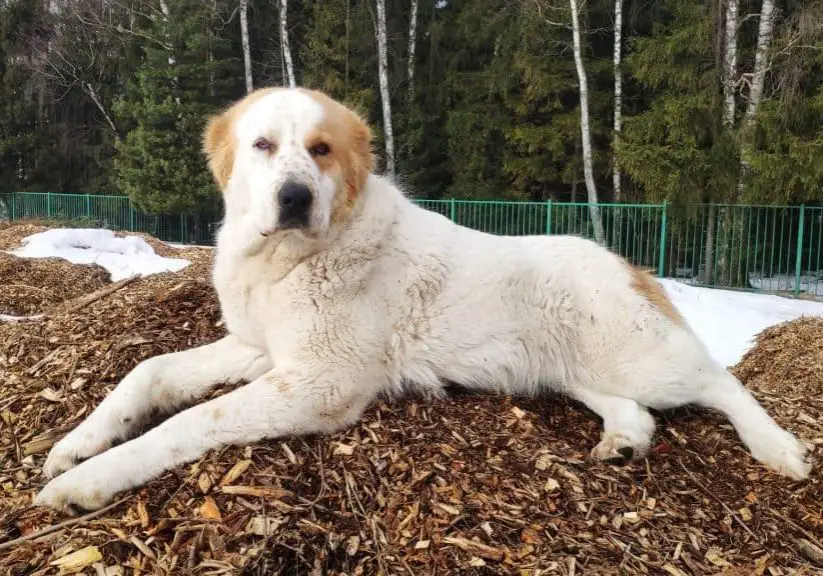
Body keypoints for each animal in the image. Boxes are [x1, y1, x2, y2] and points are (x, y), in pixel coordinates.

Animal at [37, 88, 812, 510]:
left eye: (320, 150)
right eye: (262, 146)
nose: (294, 197)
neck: (292, 260)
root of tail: (626, 262)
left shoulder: (317, 383)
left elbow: (190, 422)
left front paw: (94, 479)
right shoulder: (261, 351)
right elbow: (148, 372)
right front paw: (76, 445)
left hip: (638, 358)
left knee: (720, 381)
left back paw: (777, 448)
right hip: (571, 370)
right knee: (637, 411)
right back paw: (623, 442)